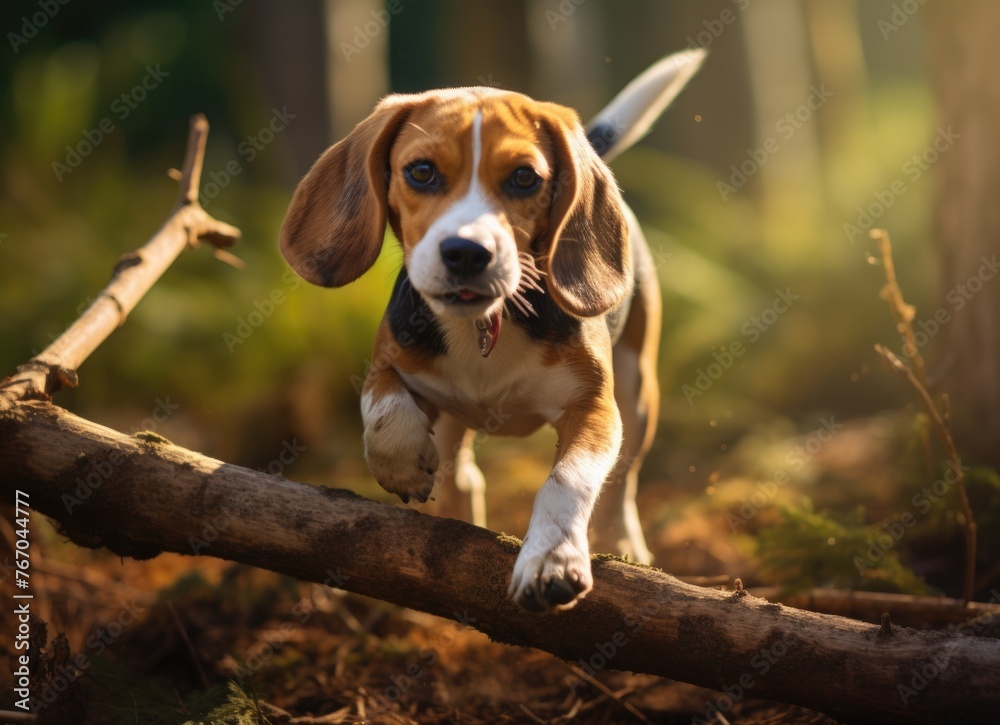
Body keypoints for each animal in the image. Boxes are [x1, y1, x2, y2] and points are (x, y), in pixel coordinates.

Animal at [280, 49, 704, 612]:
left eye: (525, 178)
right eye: (421, 171)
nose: (466, 252)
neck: (481, 326)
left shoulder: (593, 406)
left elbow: (567, 480)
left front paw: (552, 561)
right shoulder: (388, 362)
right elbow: (384, 407)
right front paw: (402, 463)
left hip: (638, 393)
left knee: (622, 482)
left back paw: (625, 544)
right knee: (460, 467)